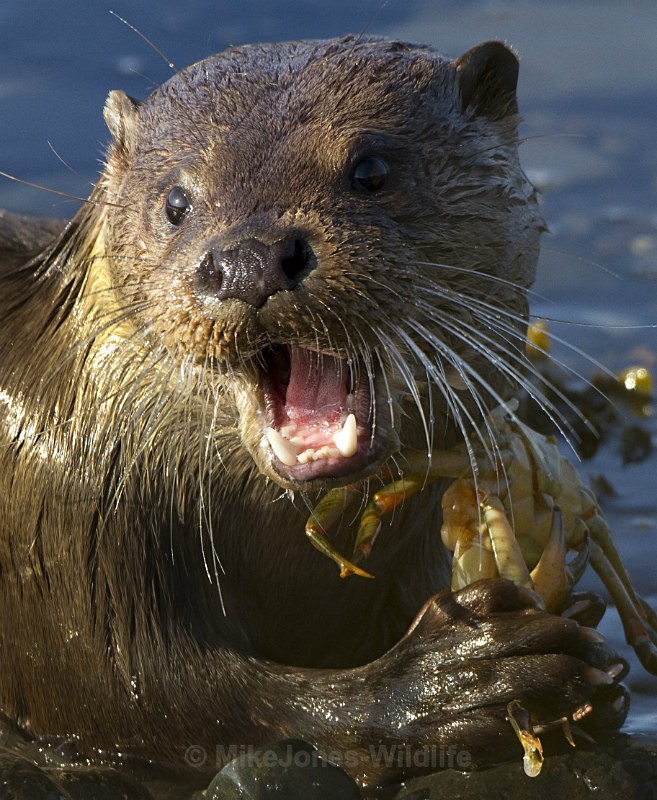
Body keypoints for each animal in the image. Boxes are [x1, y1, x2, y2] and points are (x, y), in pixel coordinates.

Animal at [0, 36, 627, 788]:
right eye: (176, 201)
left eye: (371, 170)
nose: (250, 260)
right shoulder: (59, 522)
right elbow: (155, 698)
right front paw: (457, 685)